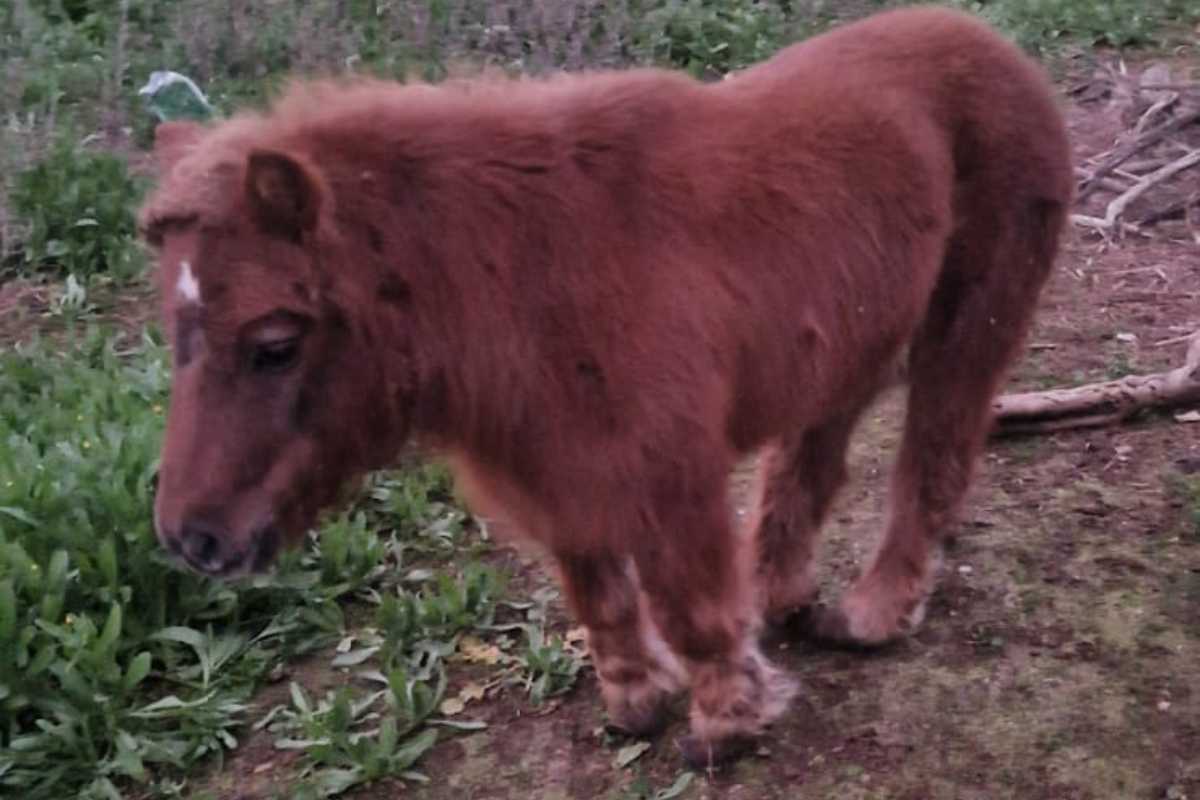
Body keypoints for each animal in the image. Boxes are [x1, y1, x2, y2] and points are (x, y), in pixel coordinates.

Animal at [138, 7, 1070, 767]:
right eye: (173, 329)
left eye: (274, 345)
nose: (192, 540)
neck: (523, 271)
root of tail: (1001, 51)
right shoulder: (557, 471)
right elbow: (601, 595)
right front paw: (639, 702)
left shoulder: (670, 475)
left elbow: (690, 605)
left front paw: (725, 725)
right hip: (845, 352)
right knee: (810, 469)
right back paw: (778, 599)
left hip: (965, 333)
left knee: (934, 461)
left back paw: (875, 616)